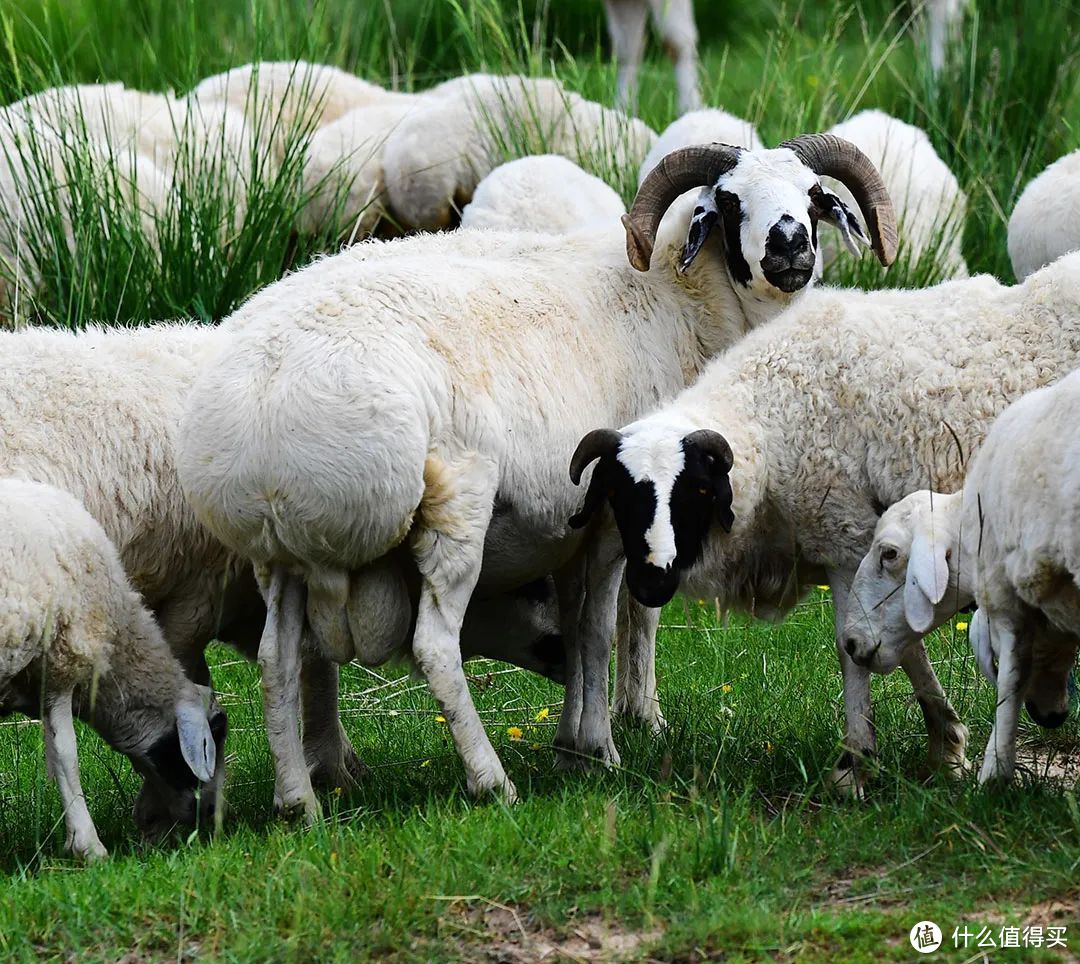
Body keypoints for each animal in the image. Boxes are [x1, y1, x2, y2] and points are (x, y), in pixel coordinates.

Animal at [565, 250, 1080, 790]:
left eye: (698, 491)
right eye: (620, 496)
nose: (651, 580)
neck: (770, 414)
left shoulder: (846, 535)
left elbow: (852, 648)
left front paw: (856, 762)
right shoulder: (874, 551)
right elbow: (892, 640)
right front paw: (945, 743)